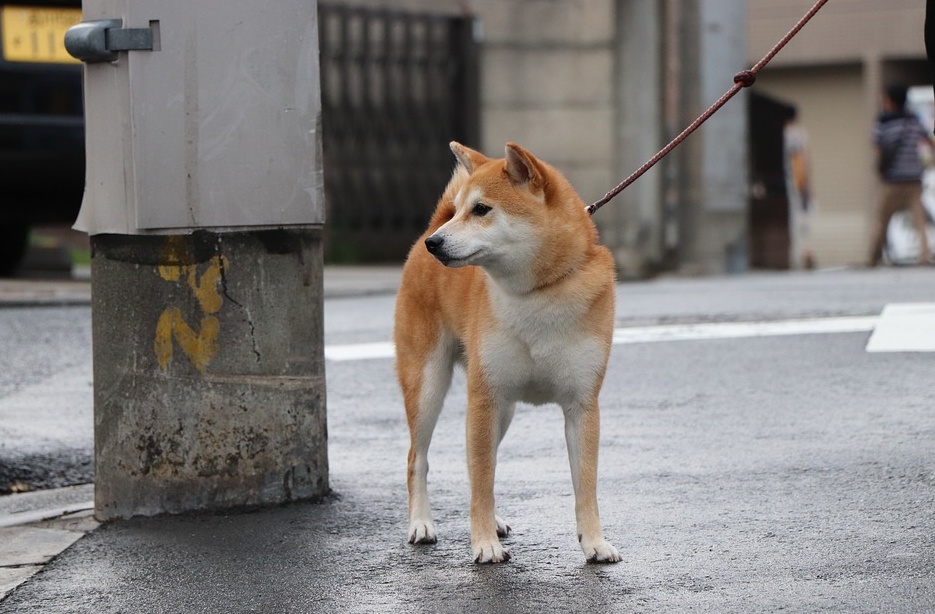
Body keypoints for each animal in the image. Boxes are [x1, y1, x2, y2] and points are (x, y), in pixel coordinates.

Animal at [394, 142, 620, 564]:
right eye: (463, 209)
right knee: (419, 459)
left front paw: (595, 541)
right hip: (429, 386)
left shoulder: (582, 405)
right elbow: (482, 482)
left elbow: (586, 485)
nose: (436, 243)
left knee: (482, 464)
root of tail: (429, 227)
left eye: (482, 209)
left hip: (504, 411)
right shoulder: (484, 398)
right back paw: (422, 523)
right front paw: (483, 543)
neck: (538, 294)